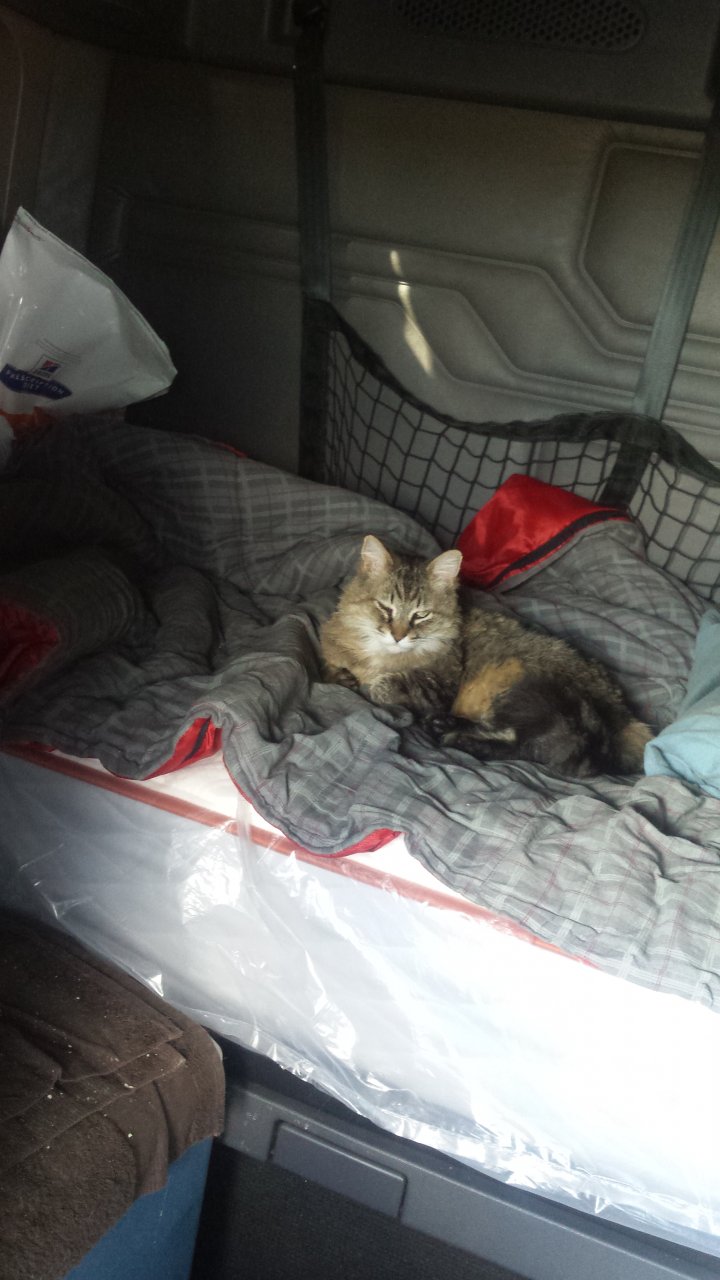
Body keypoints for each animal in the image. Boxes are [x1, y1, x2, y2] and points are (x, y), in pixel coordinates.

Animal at [320, 534, 652, 777]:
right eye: (385, 608)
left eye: (421, 615)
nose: (398, 636)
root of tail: (625, 720)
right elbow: (333, 670)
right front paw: (345, 677)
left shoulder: (438, 688)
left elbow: (383, 686)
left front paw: (371, 684)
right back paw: (444, 726)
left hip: (519, 690)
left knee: (523, 745)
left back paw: (451, 735)